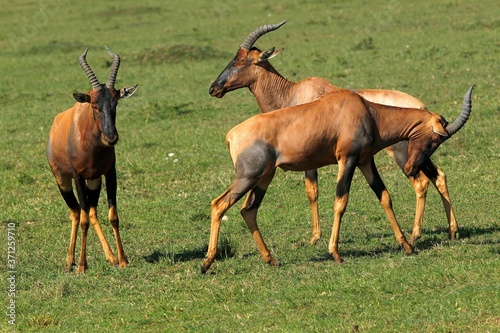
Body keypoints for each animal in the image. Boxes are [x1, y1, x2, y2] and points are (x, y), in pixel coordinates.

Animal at [46, 46, 138, 272]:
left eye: (116, 102)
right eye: (94, 104)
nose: (111, 137)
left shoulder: (110, 173)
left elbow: (113, 216)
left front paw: (123, 260)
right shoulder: (78, 177)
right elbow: (84, 219)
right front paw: (82, 265)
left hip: (94, 180)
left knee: (92, 211)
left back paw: (110, 257)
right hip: (63, 179)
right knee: (77, 212)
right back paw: (69, 261)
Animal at [201, 85, 474, 272]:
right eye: (435, 138)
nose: (410, 168)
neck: (367, 112)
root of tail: (232, 135)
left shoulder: (365, 162)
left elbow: (385, 197)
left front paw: (407, 245)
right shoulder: (347, 160)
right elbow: (341, 201)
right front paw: (335, 253)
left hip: (264, 178)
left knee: (248, 210)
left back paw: (271, 259)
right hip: (248, 177)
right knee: (219, 205)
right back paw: (207, 263)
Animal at [209, 20, 458, 244]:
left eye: (241, 61)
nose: (214, 88)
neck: (292, 93)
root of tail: (422, 107)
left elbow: (312, 191)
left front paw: (314, 238)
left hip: (403, 154)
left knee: (421, 182)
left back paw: (415, 234)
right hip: (422, 154)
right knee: (439, 176)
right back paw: (452, 230)